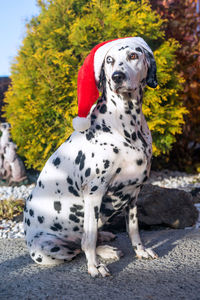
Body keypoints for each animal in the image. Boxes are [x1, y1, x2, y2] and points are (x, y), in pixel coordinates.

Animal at [23, 37, 158, 276]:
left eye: (133, 55)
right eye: (110, 60)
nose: (117, 77)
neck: (126, 124)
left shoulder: (134, 192)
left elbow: (133, 229)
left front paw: (141, 251)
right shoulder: (94, 193)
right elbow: (89, 239)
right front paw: (94, 266)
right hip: (48, 248)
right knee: (79, 245)